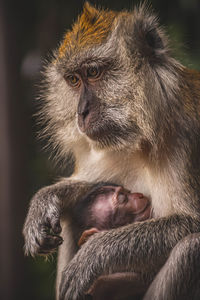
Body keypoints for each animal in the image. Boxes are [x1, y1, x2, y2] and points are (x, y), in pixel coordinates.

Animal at [21, 2, 200, 300]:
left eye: (93, 73)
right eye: (73, 80)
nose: (81, 112)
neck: (143, 135)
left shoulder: (185, 133)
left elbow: (192, 223)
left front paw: (94, 253)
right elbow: (90, 186)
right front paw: (45, 200)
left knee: (190, 249)